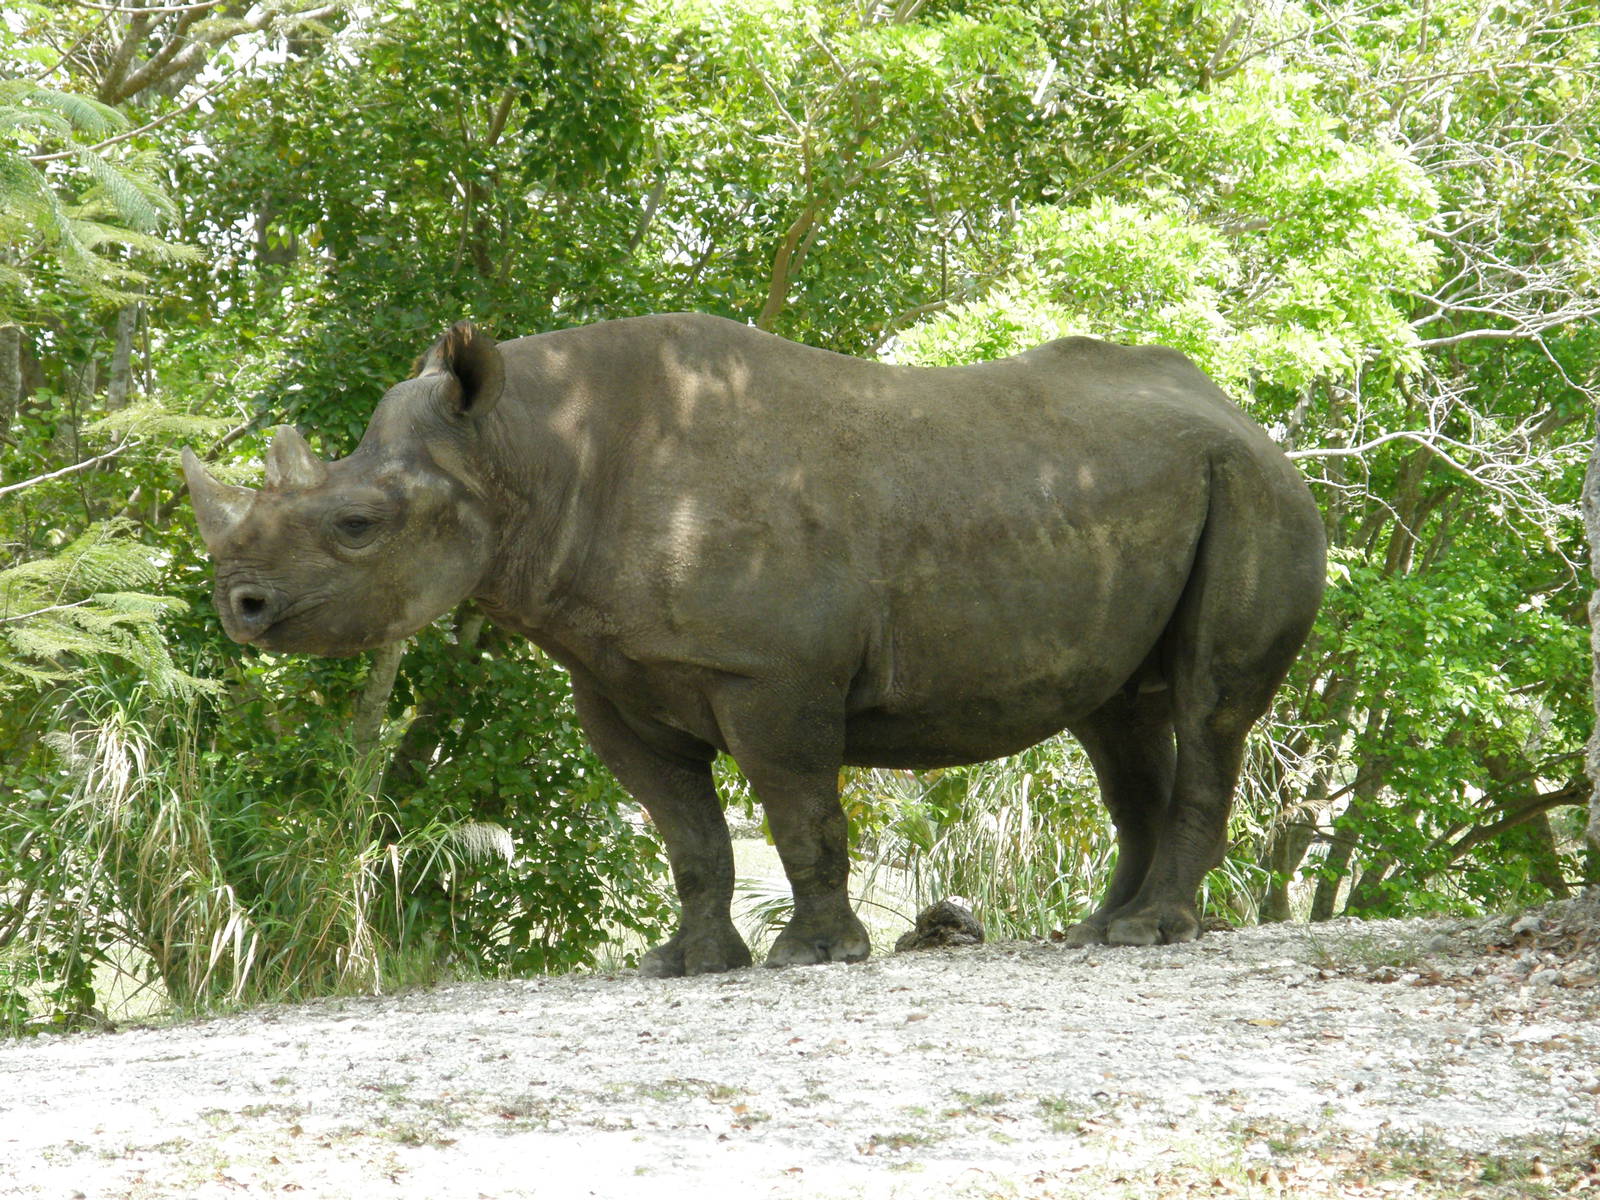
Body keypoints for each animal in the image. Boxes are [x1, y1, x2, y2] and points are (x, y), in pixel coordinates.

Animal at [184, 313, 1325, 976]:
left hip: (1258, 492)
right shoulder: (611, 678)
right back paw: (1095, 934)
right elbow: (687, 832)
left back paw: (1148, 934)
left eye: (356, 526)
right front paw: (687, 963)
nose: (239, 607)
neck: (521, 454)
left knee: (1208, 705)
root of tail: (1241, 412)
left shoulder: (775, 673)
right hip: (1145, 494)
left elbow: (798, 811)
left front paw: (812, 956)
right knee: (1116, 716)